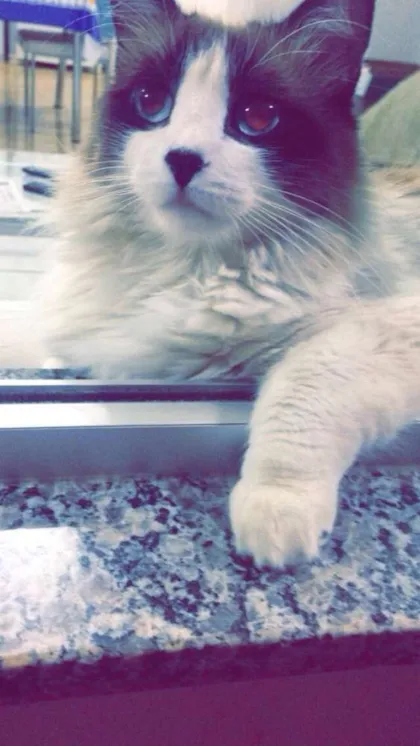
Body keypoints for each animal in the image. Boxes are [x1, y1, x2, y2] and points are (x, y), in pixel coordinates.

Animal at [34, 0, 420, 567]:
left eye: (256, 119)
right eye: (152, 103)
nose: (182, 159)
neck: (193, 270)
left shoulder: (385, 329)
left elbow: (303, 385)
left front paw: (275, 510)